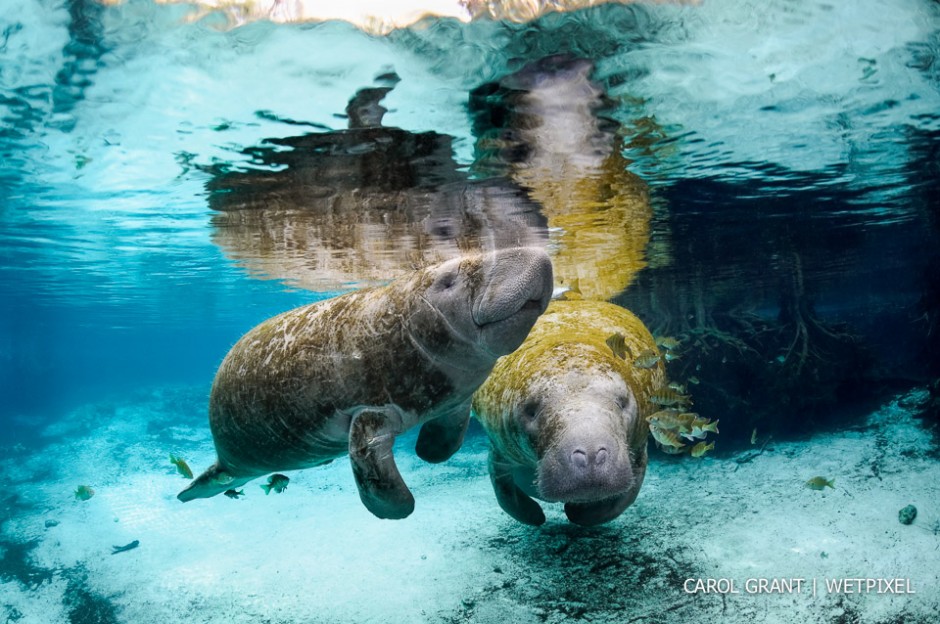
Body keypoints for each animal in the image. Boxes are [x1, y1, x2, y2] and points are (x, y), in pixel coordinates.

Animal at [180, 246, 556, 520]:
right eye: (449, 281)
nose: (538, 252)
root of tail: (226, 462)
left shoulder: (458, 398)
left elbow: (448, 440)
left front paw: (428, 452)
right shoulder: (367, 413)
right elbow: (373, 471)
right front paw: (397, 510)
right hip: (236, 460)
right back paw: (187, 494)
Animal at [474, 300, 664, 524]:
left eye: (623, 402)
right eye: (530, 410)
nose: (590, 454)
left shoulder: (639, 444)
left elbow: (622, 500)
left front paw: (577, 513)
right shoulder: (498, 447)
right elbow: (505, 494)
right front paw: (536, 517)